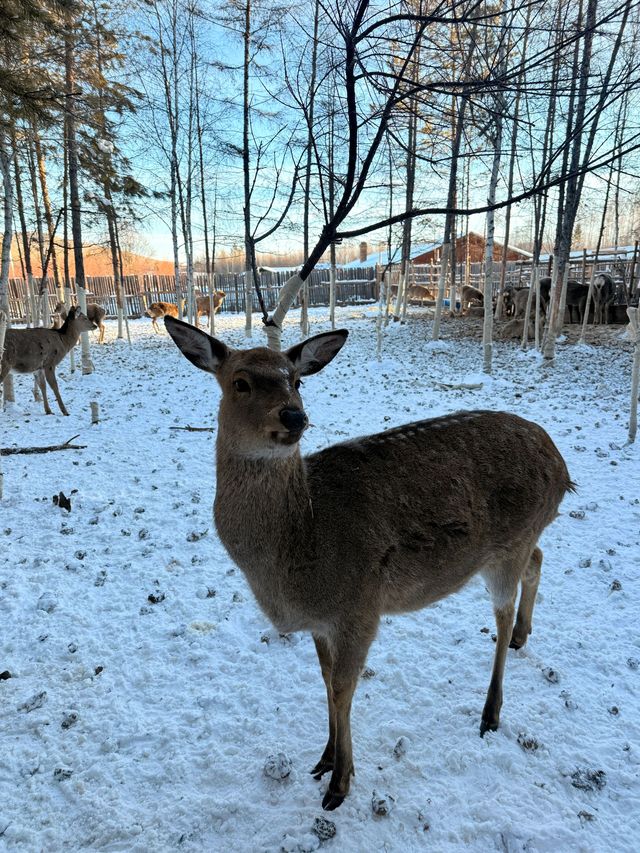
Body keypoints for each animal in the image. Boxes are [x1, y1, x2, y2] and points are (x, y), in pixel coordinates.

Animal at [162, 316, 572, 808]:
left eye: (296, 380)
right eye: (239, 383)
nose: (294, 416)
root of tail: (561, 464)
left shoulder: (359, 606)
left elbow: (343, 688)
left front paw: (340, 782)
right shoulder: (322, 621)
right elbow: (324, 678)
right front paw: (324, 758)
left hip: (508, 543)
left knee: (503, 611)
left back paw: (490, 711)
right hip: (522, 539)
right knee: (538, 559)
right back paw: (523, 637)